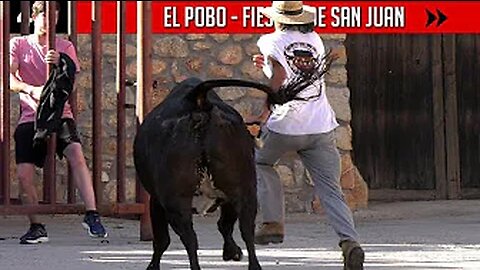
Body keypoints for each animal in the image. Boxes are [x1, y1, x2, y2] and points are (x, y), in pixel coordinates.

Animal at [132, 77, 274, 268]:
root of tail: (199, 101)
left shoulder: (156, 201)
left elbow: (161, 240)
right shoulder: (230, 197)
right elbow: (225, 225)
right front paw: (232, 251)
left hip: (175, 202)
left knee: (190, 239)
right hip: (246, 193)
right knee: (246, 232)